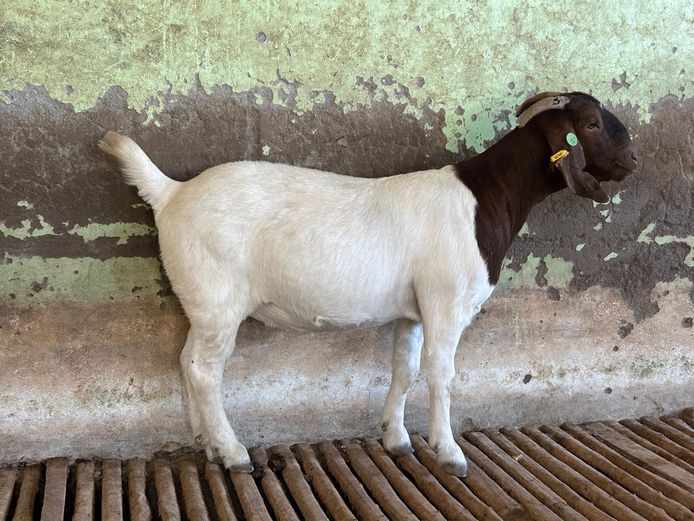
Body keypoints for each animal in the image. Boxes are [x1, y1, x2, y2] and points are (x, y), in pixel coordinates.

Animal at [99, 91, 637, 476]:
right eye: (591, 124)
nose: (633, 161)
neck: (484, 199)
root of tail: (170, 193)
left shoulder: (413, 310)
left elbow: (405, 369)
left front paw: (396, 438)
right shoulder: (446, 301)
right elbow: (442, 375)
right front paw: (449, 452)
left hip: (201, 302)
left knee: (186, 361)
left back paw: (205, 443)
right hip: (217, 298)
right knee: (205, 371)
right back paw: (232, 453)